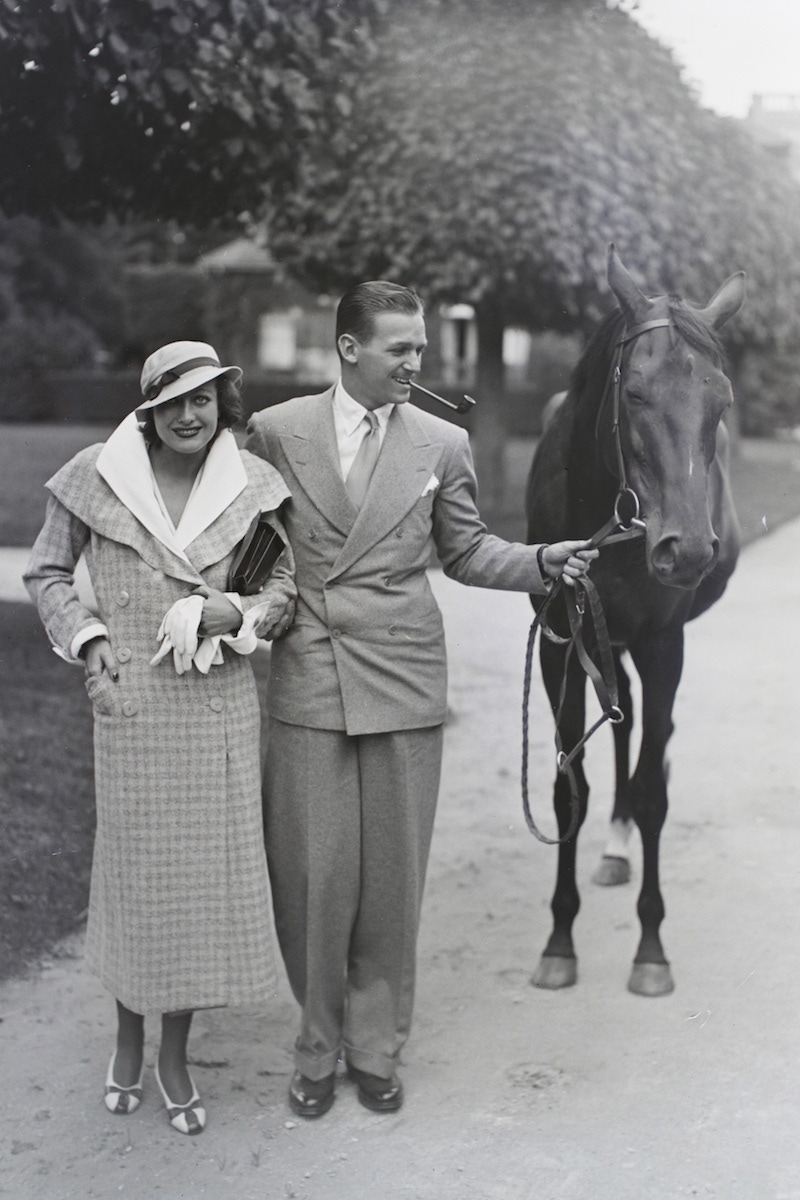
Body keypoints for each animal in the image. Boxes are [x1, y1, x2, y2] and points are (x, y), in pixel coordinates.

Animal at [525, 241, 743, 993]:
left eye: (720, 401)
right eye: (635, 393)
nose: (689, 550)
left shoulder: (662, 643)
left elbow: (652, 791)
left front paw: (652, 949)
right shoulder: (559, 642)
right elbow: (568, 789)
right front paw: (559, 940)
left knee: (649, 734)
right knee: (619, 729)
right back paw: (614, 847)